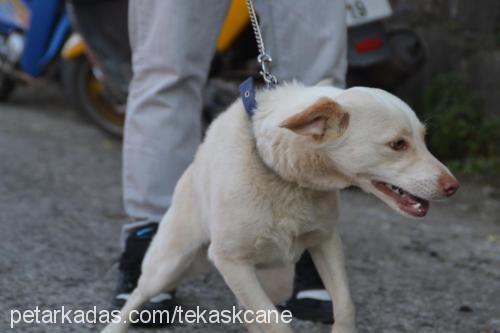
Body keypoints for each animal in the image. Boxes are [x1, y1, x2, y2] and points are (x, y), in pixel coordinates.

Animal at [103, 83, 458, 332]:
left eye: (424, 138)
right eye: (397, 145)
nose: (453, 187)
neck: (284, 177)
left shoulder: (325, 242)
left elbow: (344, 306)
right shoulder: (230, 260)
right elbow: (275, 322)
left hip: (271, 282)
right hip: (170, 265)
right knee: (138, 296)